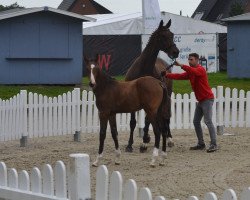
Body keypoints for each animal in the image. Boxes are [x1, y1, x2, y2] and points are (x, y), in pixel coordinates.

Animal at [125, 19, 180, 152]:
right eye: (163, 36)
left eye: (172, 35)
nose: (175, 52)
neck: (143, 69)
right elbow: (133, 122)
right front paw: (129, 144)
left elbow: (147, 120)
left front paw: (144, 141)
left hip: (165, 97)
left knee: (164, 117)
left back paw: (168, 139)